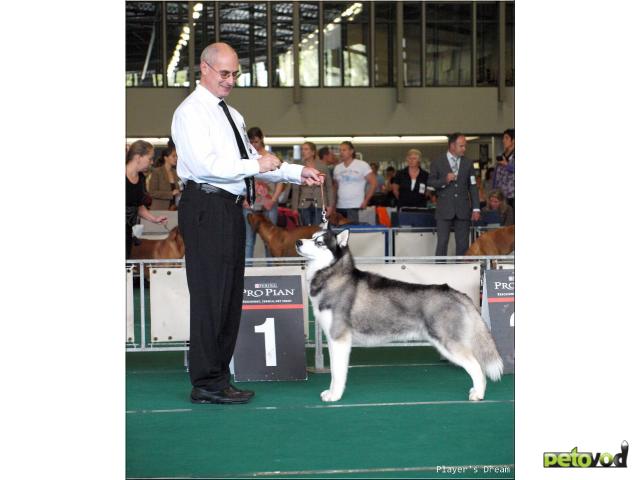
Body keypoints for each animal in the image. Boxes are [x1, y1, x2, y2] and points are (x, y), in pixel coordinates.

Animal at [298, 229, 502, 402]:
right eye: (312, 236)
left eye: (319, 242)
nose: (298, 242)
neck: (333, 276)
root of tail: (456, 292)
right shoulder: (333, 339)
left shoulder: (339, 338)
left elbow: (337, 372)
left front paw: (334, 395)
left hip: (448, 343)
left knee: (476, 366)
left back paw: (478, 393)